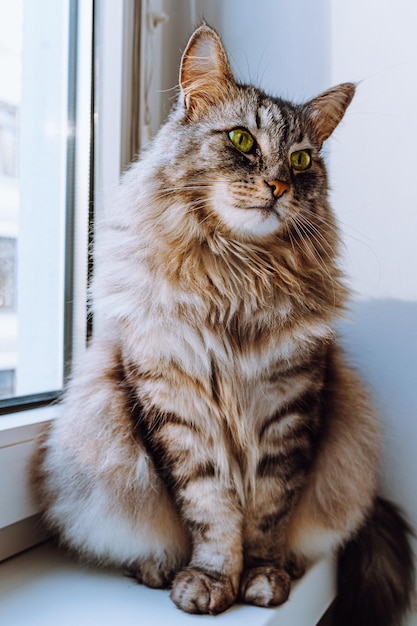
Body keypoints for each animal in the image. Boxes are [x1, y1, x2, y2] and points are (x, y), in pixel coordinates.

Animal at [30, 23, 412, 620]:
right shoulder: (176, 404)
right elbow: (210, 510)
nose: (278, 186)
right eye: (242, 141)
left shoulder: (288, 406)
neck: (237, 277)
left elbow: (268, 513)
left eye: (302, 162)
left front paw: (262, 577)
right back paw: (158, 568)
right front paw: (210, 580)